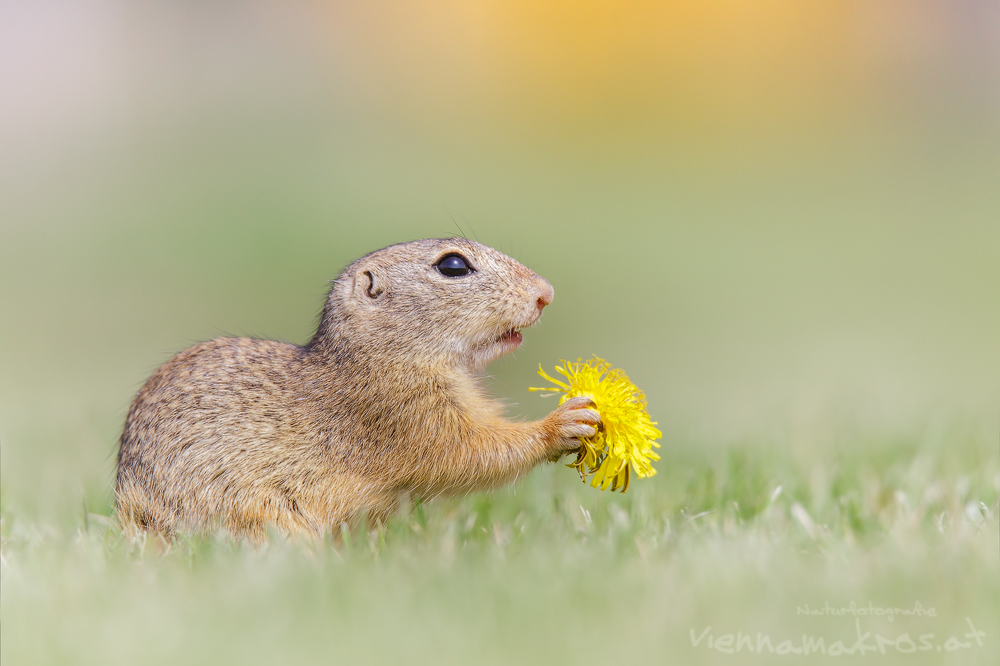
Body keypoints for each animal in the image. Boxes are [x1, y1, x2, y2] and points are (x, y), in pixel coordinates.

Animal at [117, 239, 600, 540]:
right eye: (453, 265)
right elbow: (471, 452)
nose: (546, 292)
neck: (379, 353)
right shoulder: (404, 412)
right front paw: (565, 423)